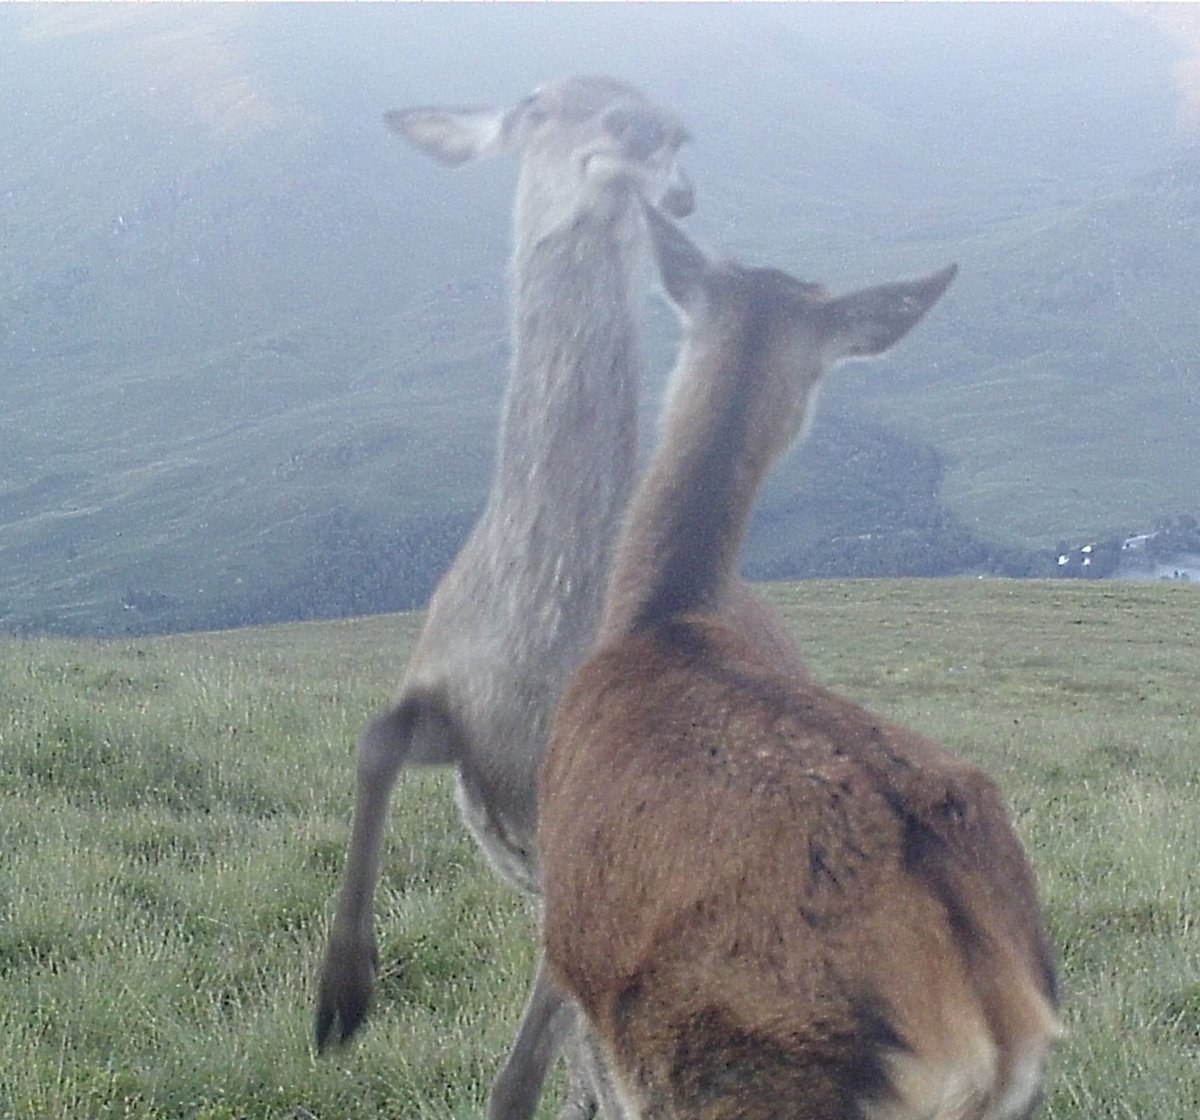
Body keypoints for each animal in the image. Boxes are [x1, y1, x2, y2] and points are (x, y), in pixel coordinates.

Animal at [315, 76, 702, 1120]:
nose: (644, 129)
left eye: (674, 128)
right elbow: (374, 739)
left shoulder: (591, 864)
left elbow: (514, 1082)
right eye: (536, 105)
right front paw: (340, 995)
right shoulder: (454, 700)